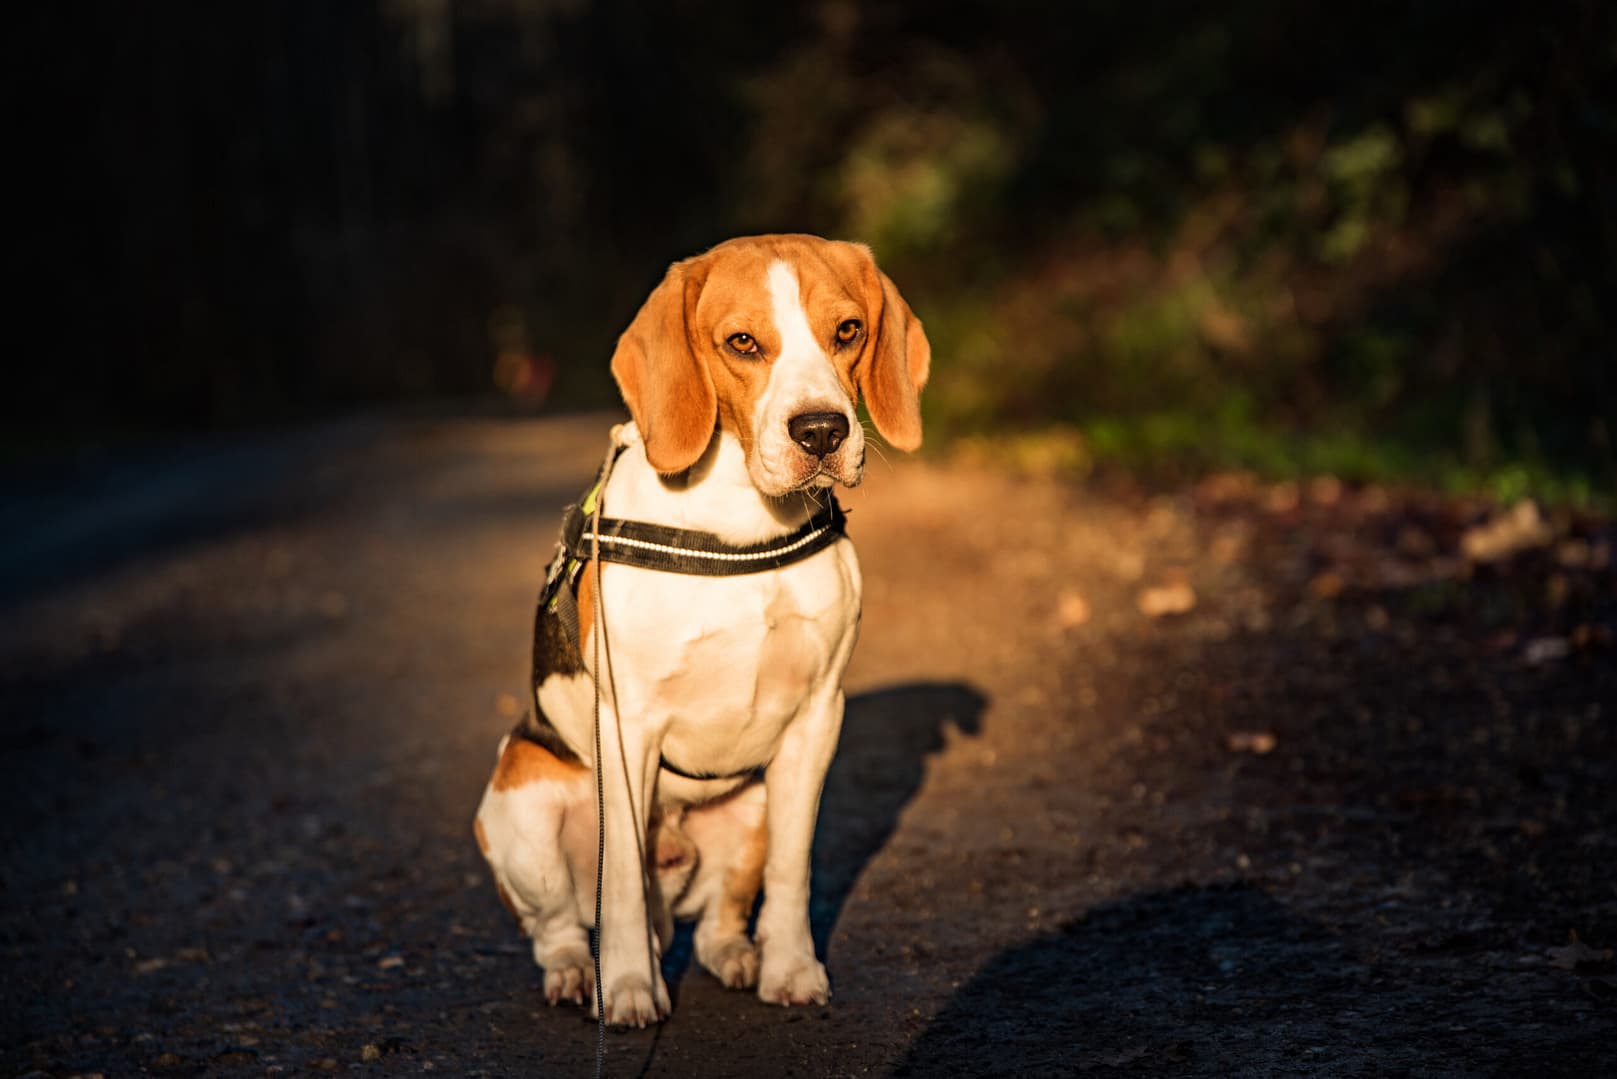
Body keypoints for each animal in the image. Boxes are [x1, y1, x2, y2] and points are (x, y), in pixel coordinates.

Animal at [472, 234, 924, 1028]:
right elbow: (620, 877)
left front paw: (792, 967)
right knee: (559, 926)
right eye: (742, 342)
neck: (743, 522)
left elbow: (793, 870)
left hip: (751, 807)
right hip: (519, 805)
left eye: (848, 331)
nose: (821, 431)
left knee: (717, 920)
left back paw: (738, 955)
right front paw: (628, 987)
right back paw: (578, 974)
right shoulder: (628, 729)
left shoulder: (816, 719)